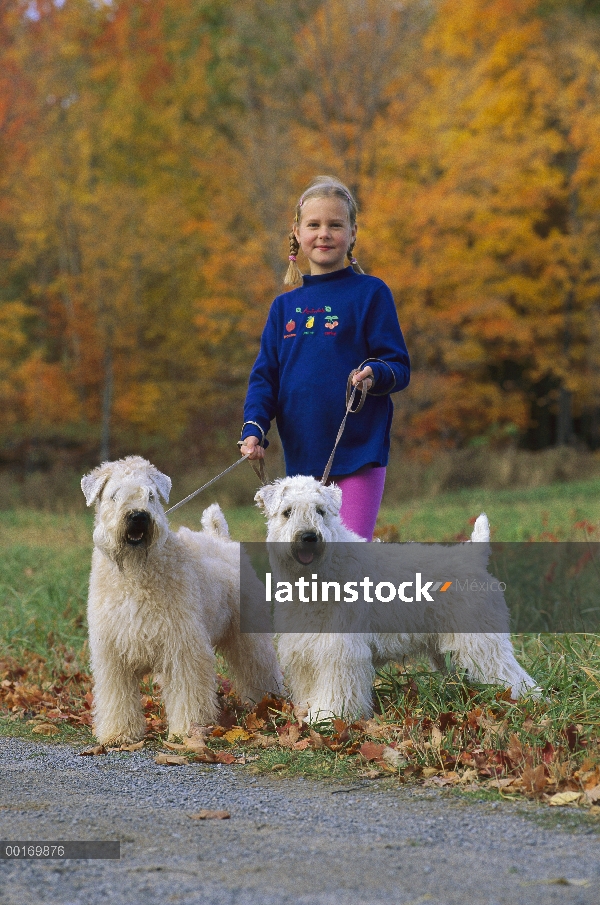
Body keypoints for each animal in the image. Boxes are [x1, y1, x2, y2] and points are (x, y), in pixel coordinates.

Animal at [81, 456, 284, 744]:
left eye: (151, 495)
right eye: (114, 495)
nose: (138, 516)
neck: (135, 574)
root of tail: (222, 540)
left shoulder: (182, 647)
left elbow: (187, 691)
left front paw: (188, 731)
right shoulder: (112, 652)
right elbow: (117, 698)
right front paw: (119, 733)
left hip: (249, 638)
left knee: (260, 668)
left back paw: (271, 703)